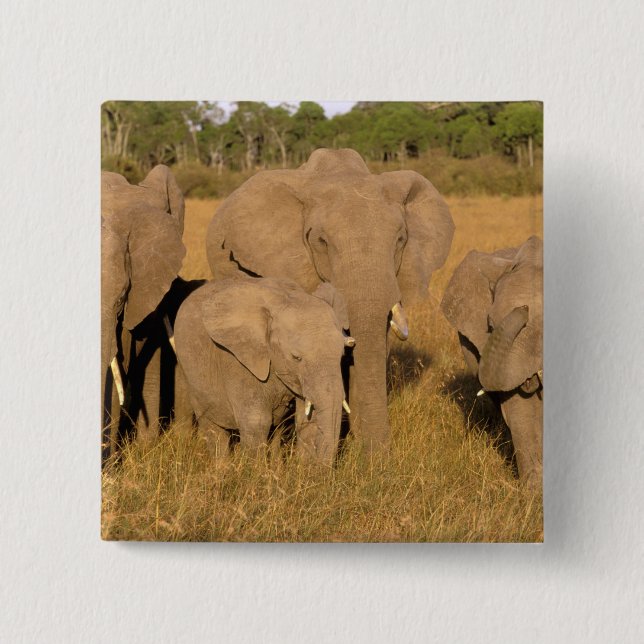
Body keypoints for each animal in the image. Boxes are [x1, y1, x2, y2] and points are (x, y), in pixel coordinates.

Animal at [174, 277, 354, 465]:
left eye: (342, 355)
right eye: (296, 358)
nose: (323, 468)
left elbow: (307, 419)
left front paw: (304, 469)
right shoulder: (237, 360)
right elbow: (257, 422)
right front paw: (254, 471)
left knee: (276, 430)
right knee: (213, 428)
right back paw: (221, 469)